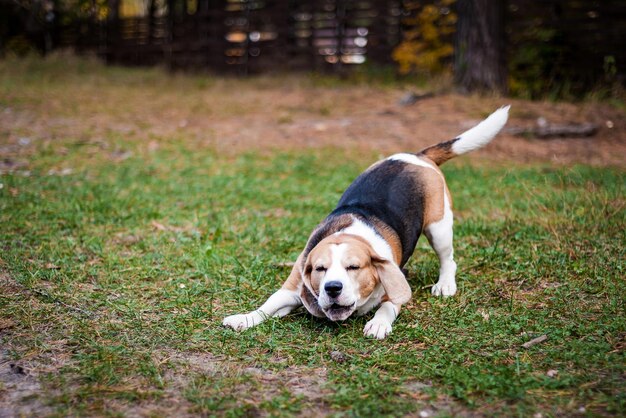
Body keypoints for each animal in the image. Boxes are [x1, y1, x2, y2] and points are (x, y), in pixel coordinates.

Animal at [223, 106, 508, 338]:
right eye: (320, 269)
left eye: (353, 267)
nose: (332, 288)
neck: (348, 233)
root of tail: (417, 156)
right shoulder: (291, 286)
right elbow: (268, 304)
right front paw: (244, 319)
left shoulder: (393, 289)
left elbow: (386, 308)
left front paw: (378, 324)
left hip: (439, 228)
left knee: (448, 259)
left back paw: (445, 284)